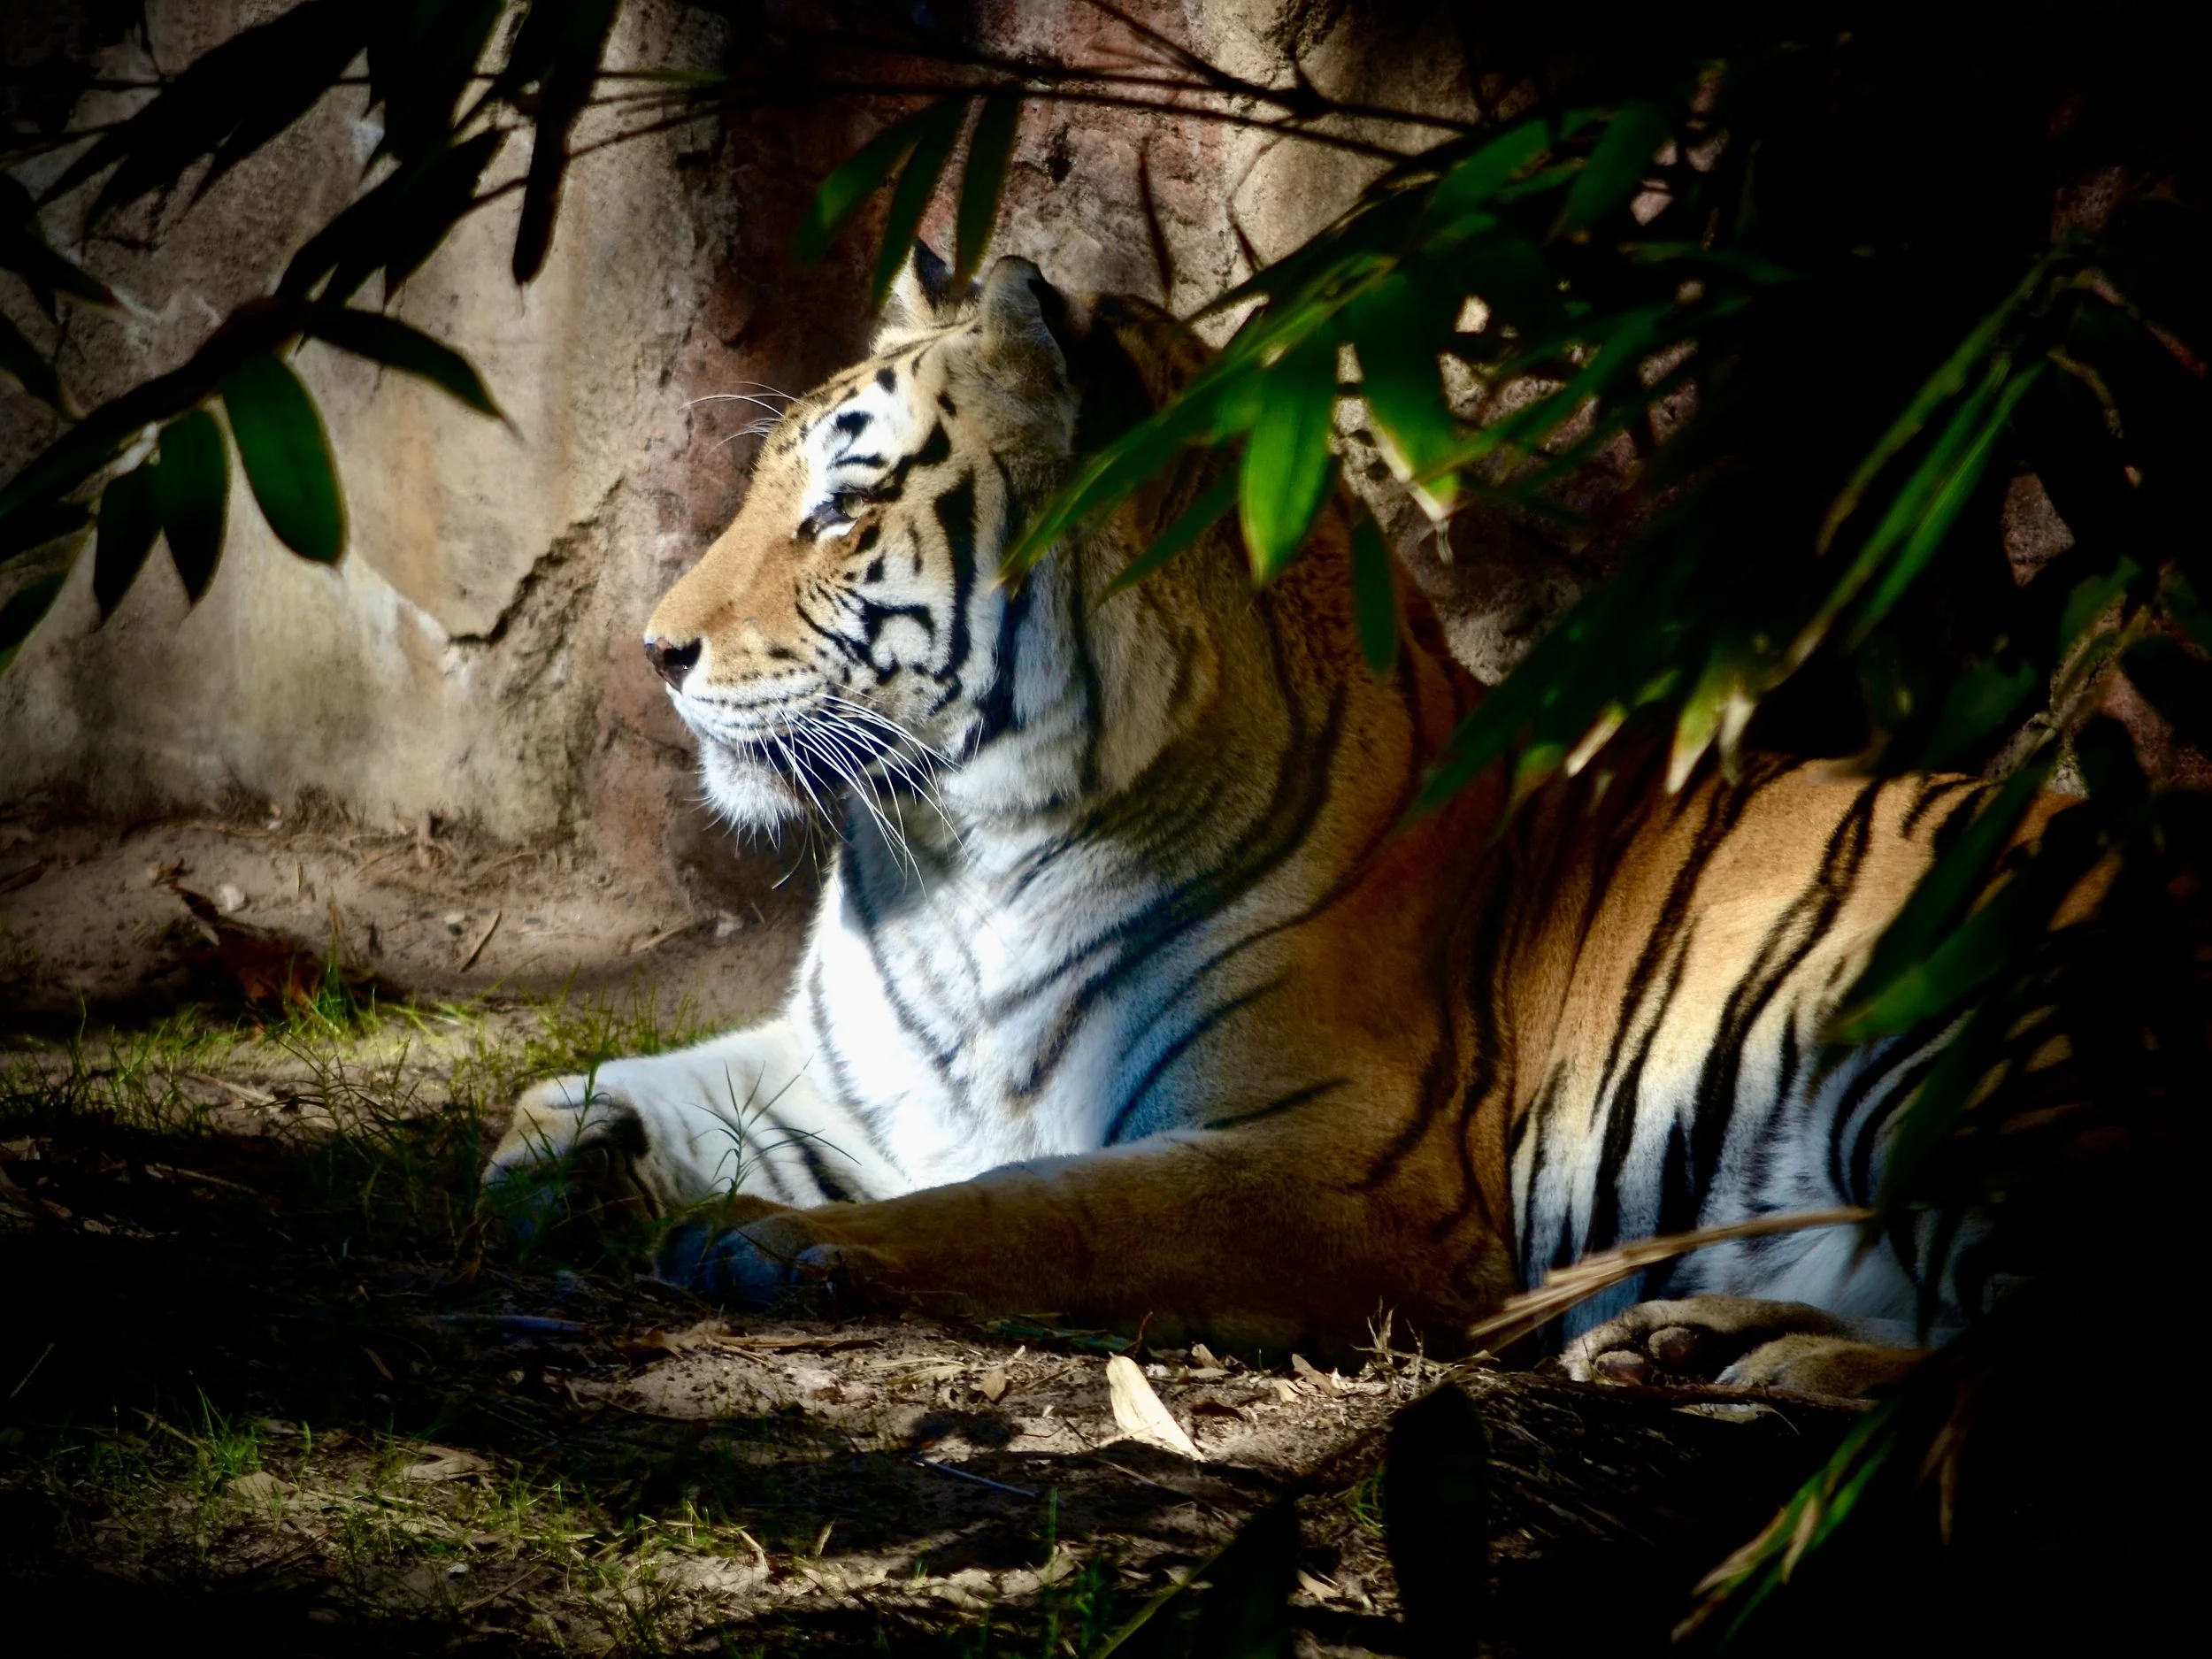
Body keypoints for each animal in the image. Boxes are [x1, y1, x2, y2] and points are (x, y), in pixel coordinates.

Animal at [482, 245, 2072, 1393]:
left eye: (839, 512)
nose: (655, 651)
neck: (957, 855)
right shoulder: (846, 1070)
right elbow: (576, 1085)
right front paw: (552, 1166)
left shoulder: (1333, 1168)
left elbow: (1034, 1204)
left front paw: (776, 1244)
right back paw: (1695, 1342)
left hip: (1949, 1049)